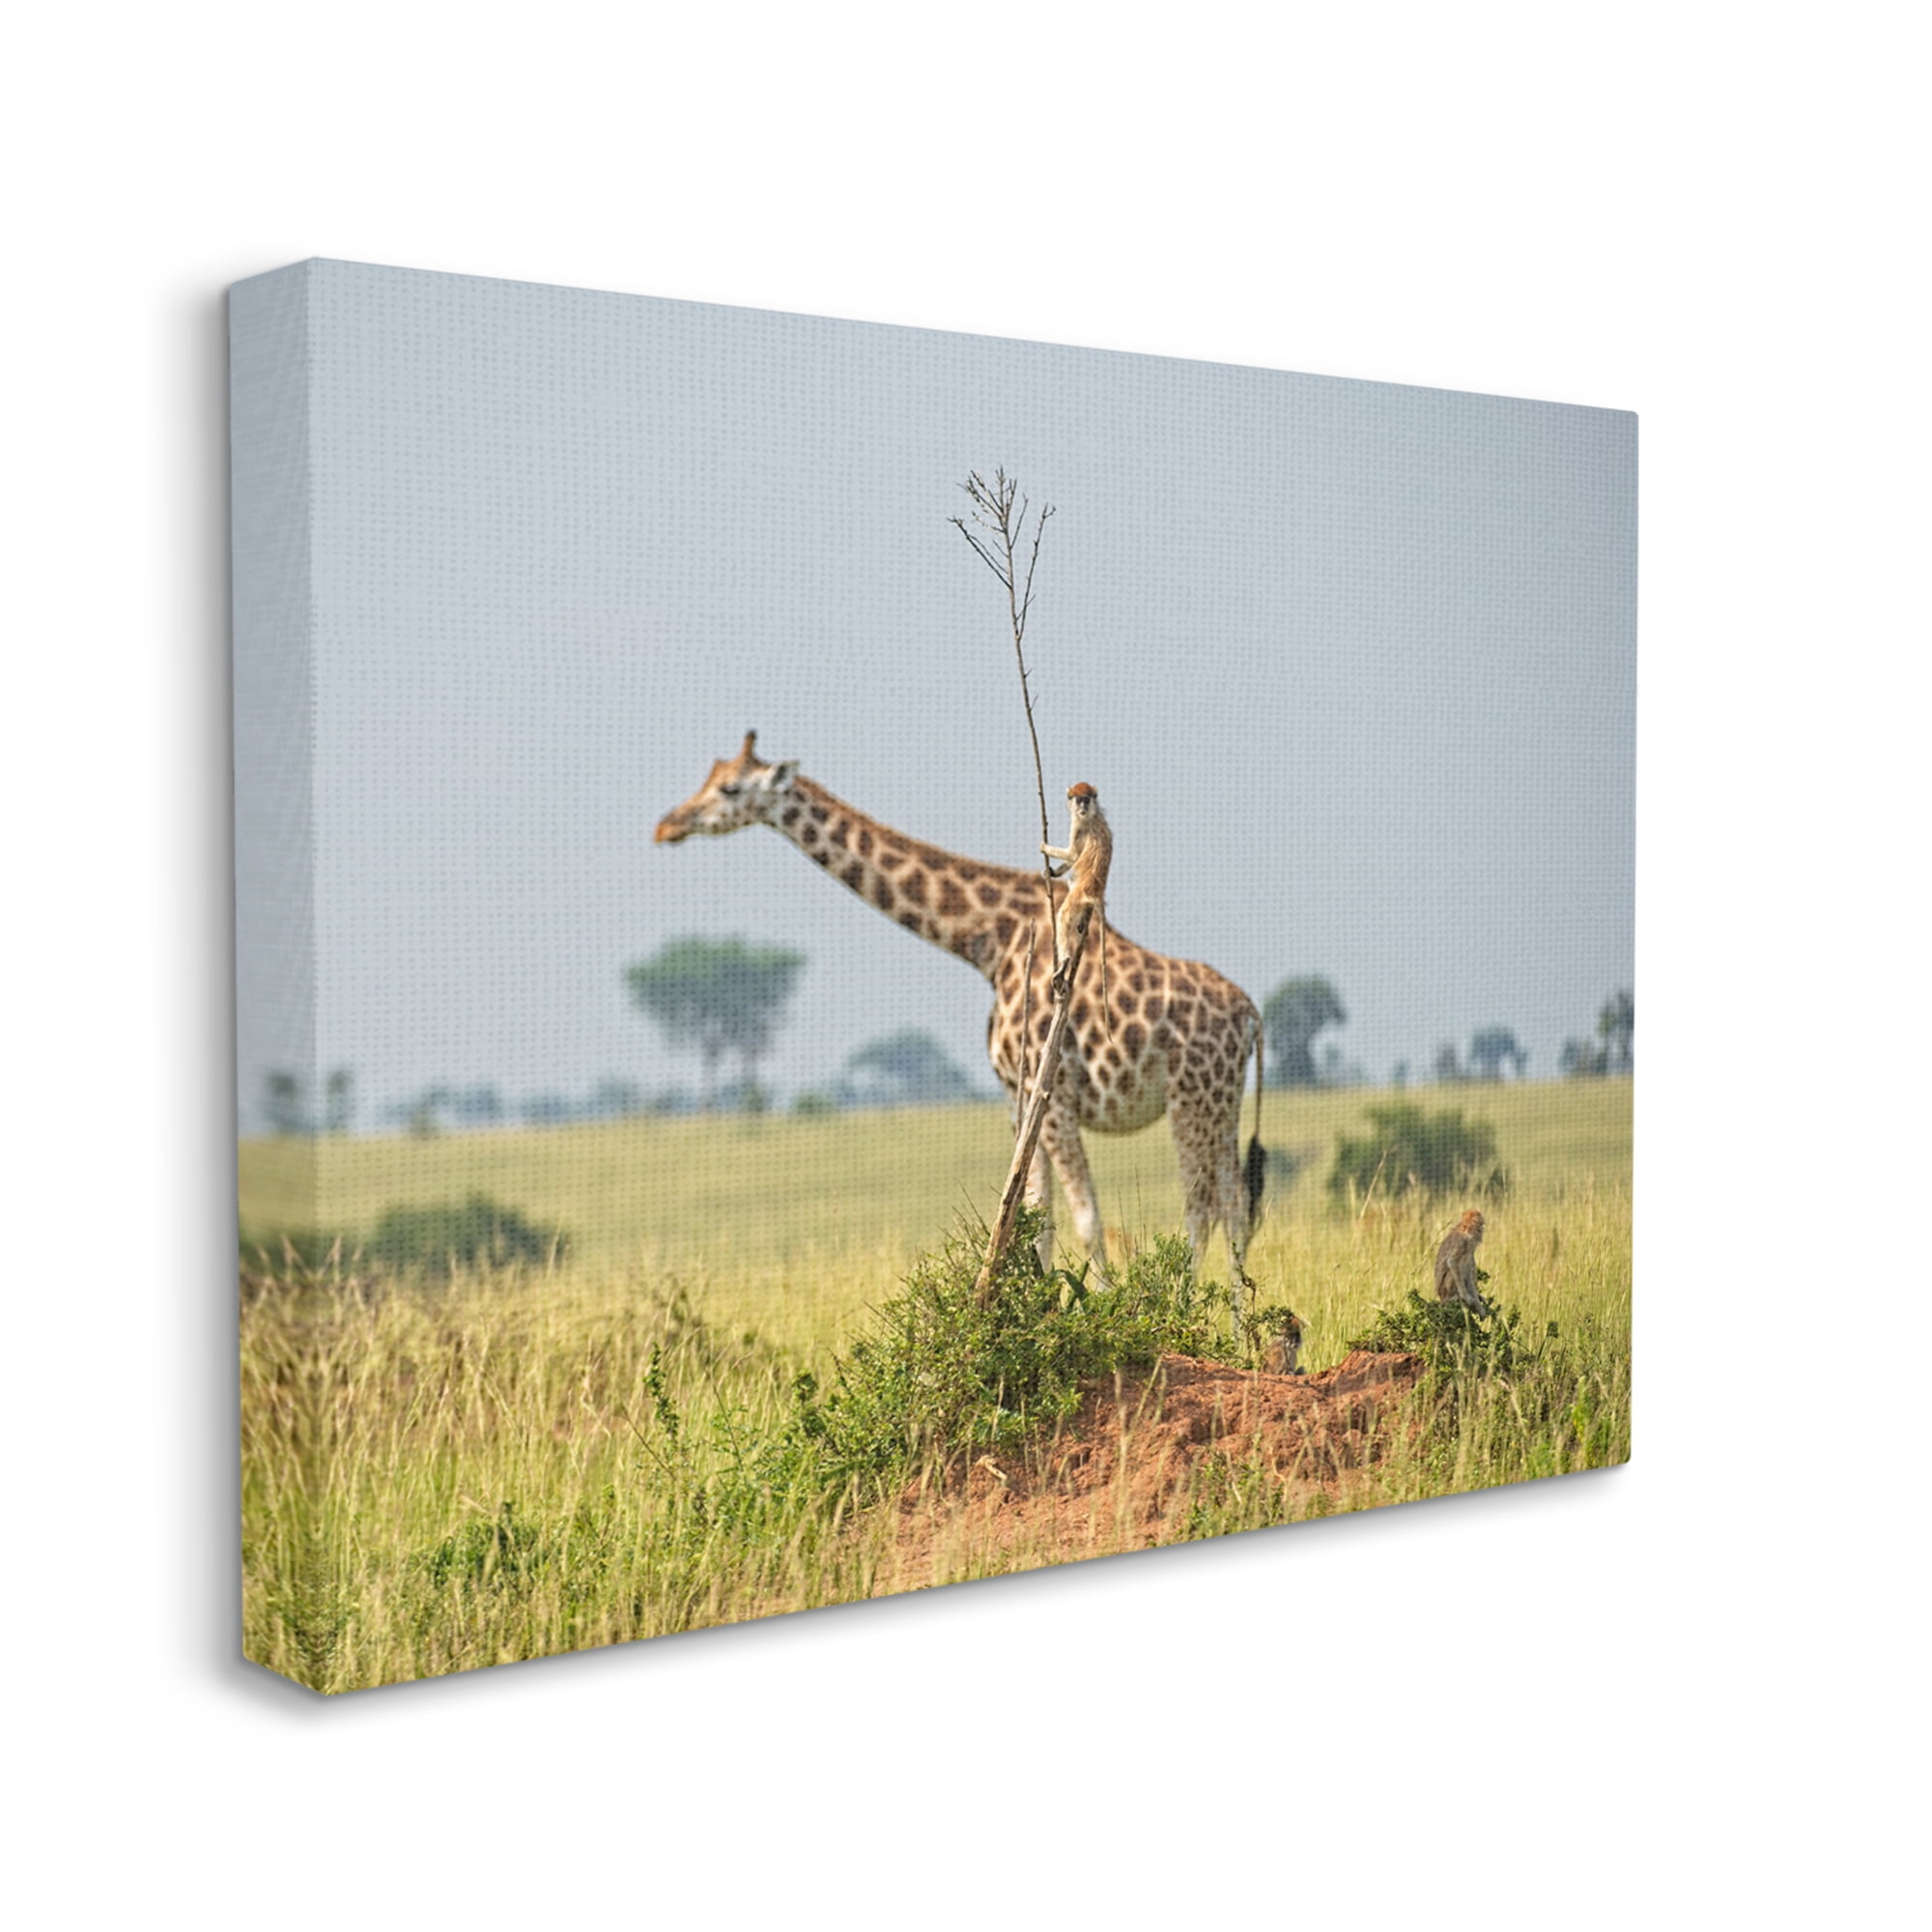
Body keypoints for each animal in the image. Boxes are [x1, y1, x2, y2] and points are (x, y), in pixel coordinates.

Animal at [1040, 780, 1113, 1005]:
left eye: (1086, 799)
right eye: (1079, 799)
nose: (1082, 807)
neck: (1092, 813)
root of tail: (1095, 891)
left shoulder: (1079, 826)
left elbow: (1073, 854)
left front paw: (1044, 847)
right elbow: (1073, 858)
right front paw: (1052, 872)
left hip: (1078, 895)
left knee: (1064, 915)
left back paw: (1064, 962)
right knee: (1072, 881)